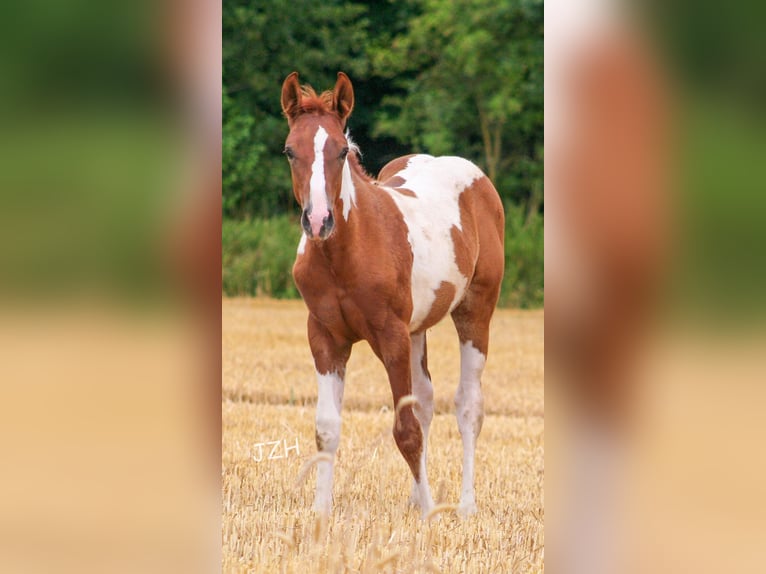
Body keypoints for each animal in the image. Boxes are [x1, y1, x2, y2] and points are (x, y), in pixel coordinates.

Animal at [281, 71, 505, 518]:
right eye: (290, 151)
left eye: (341, 150)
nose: (318, 221)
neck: (344, 256)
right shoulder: (325, 337)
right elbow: (327, 428)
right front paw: (320, 511)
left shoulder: (391, 336)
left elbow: (406, 429)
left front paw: (430, 513)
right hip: (419, 328)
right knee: (427, 399)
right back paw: (415, 496)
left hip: (475, 312)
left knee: (468, 406)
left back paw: (465, 505)